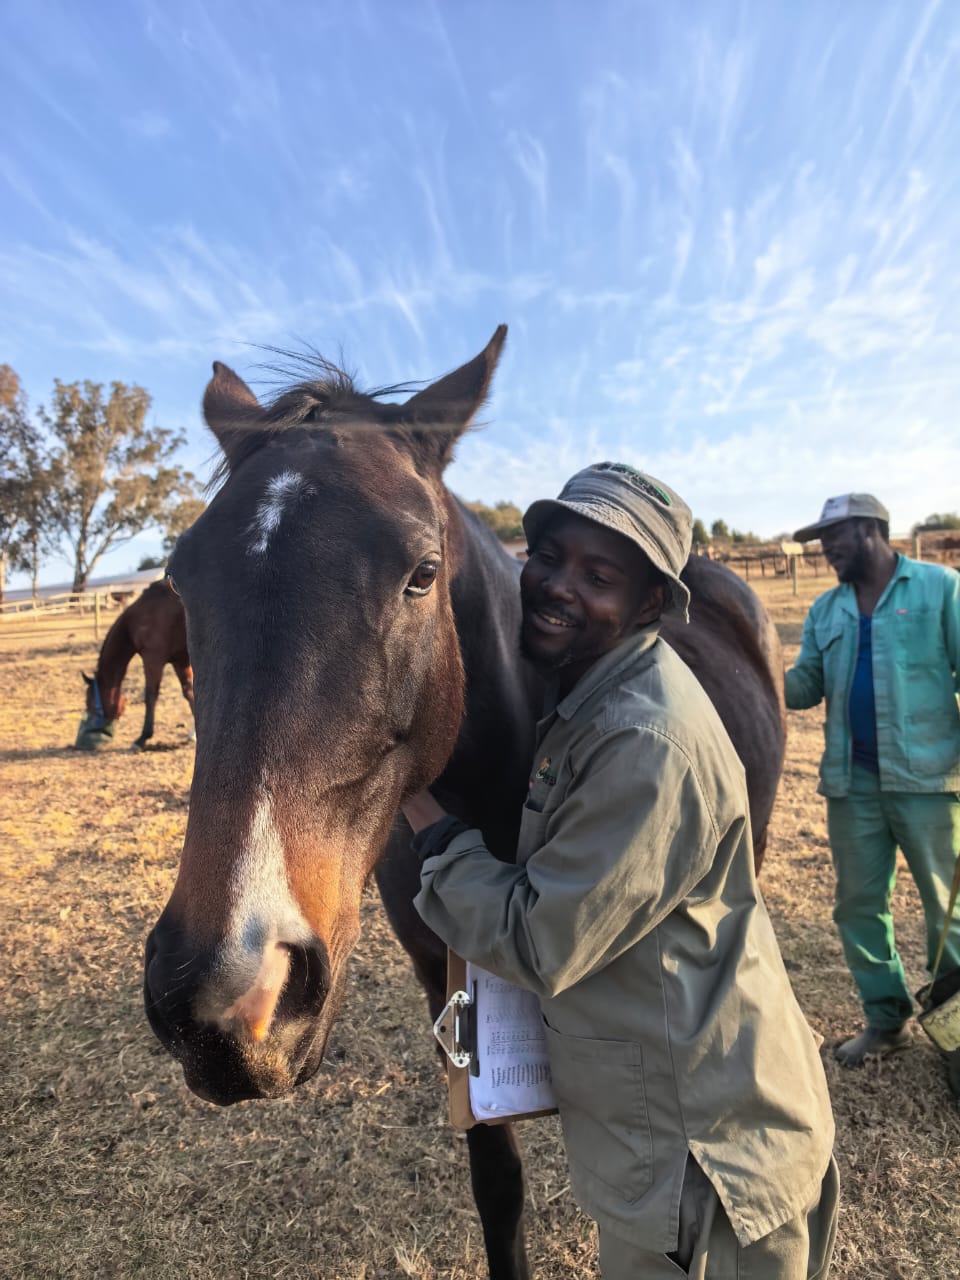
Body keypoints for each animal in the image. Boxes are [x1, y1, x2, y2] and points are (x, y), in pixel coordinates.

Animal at [74, 579, 194, 751]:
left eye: (89, 702)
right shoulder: (180, 661)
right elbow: (189, 692)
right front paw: (194, 735)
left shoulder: (153, 660)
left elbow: (150, 696)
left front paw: (142, 738)